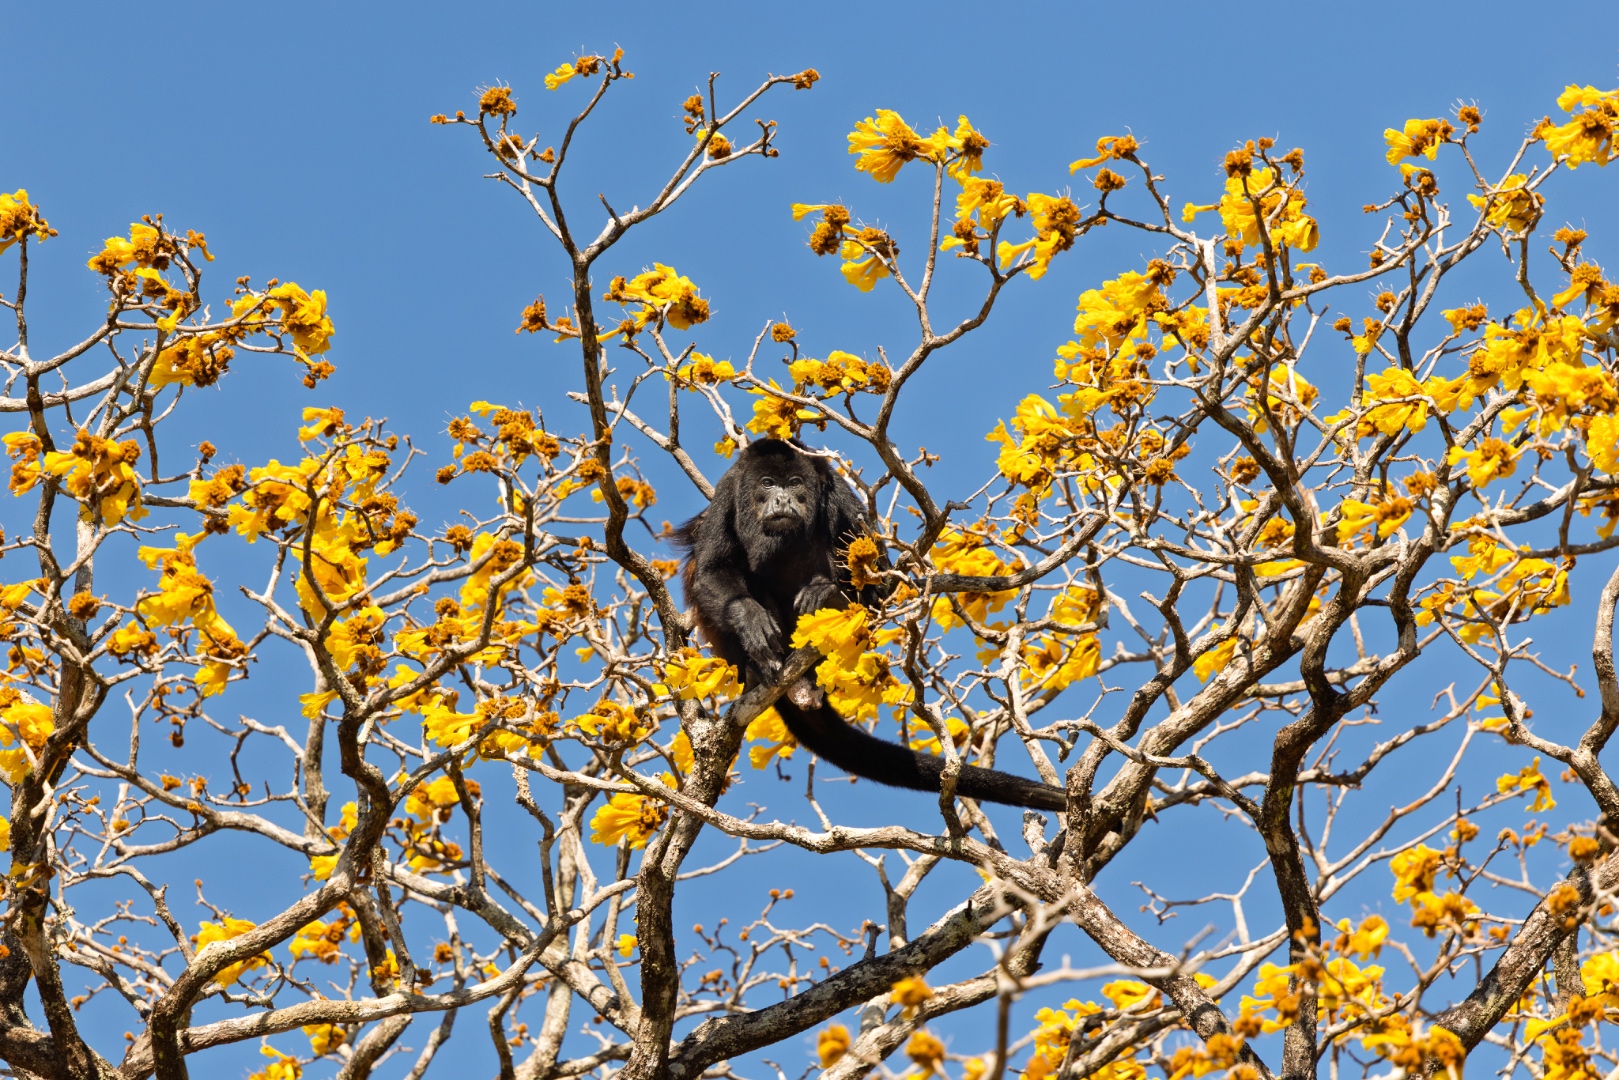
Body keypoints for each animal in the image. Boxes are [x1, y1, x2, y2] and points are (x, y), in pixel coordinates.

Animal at [673, 438, 1066, 812]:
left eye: (795, 483)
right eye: (767, 484)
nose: (782, 499)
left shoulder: (838, 490)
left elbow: (879, 576)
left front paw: (827, 592)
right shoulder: (727, 492)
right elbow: (711, 570)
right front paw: (752, 619)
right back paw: (763, 664)